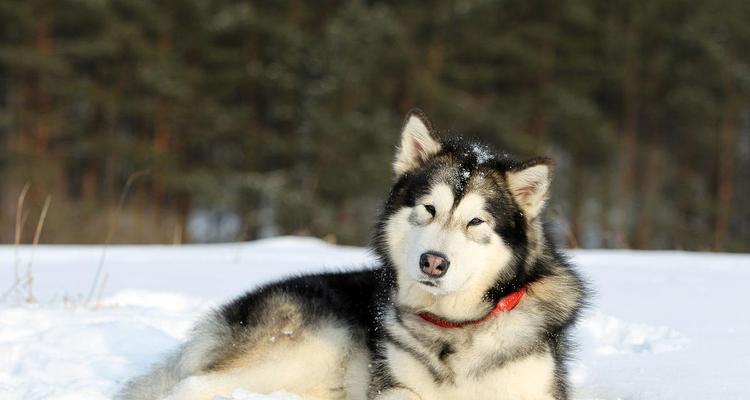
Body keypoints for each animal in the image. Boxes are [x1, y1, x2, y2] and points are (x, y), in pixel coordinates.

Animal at [119, 109, 588, 400]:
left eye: (476, 222)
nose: (433, 262)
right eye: (428, 209)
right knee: (191, 387)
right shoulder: (393, 387)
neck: (453, 329)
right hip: (311, 345)